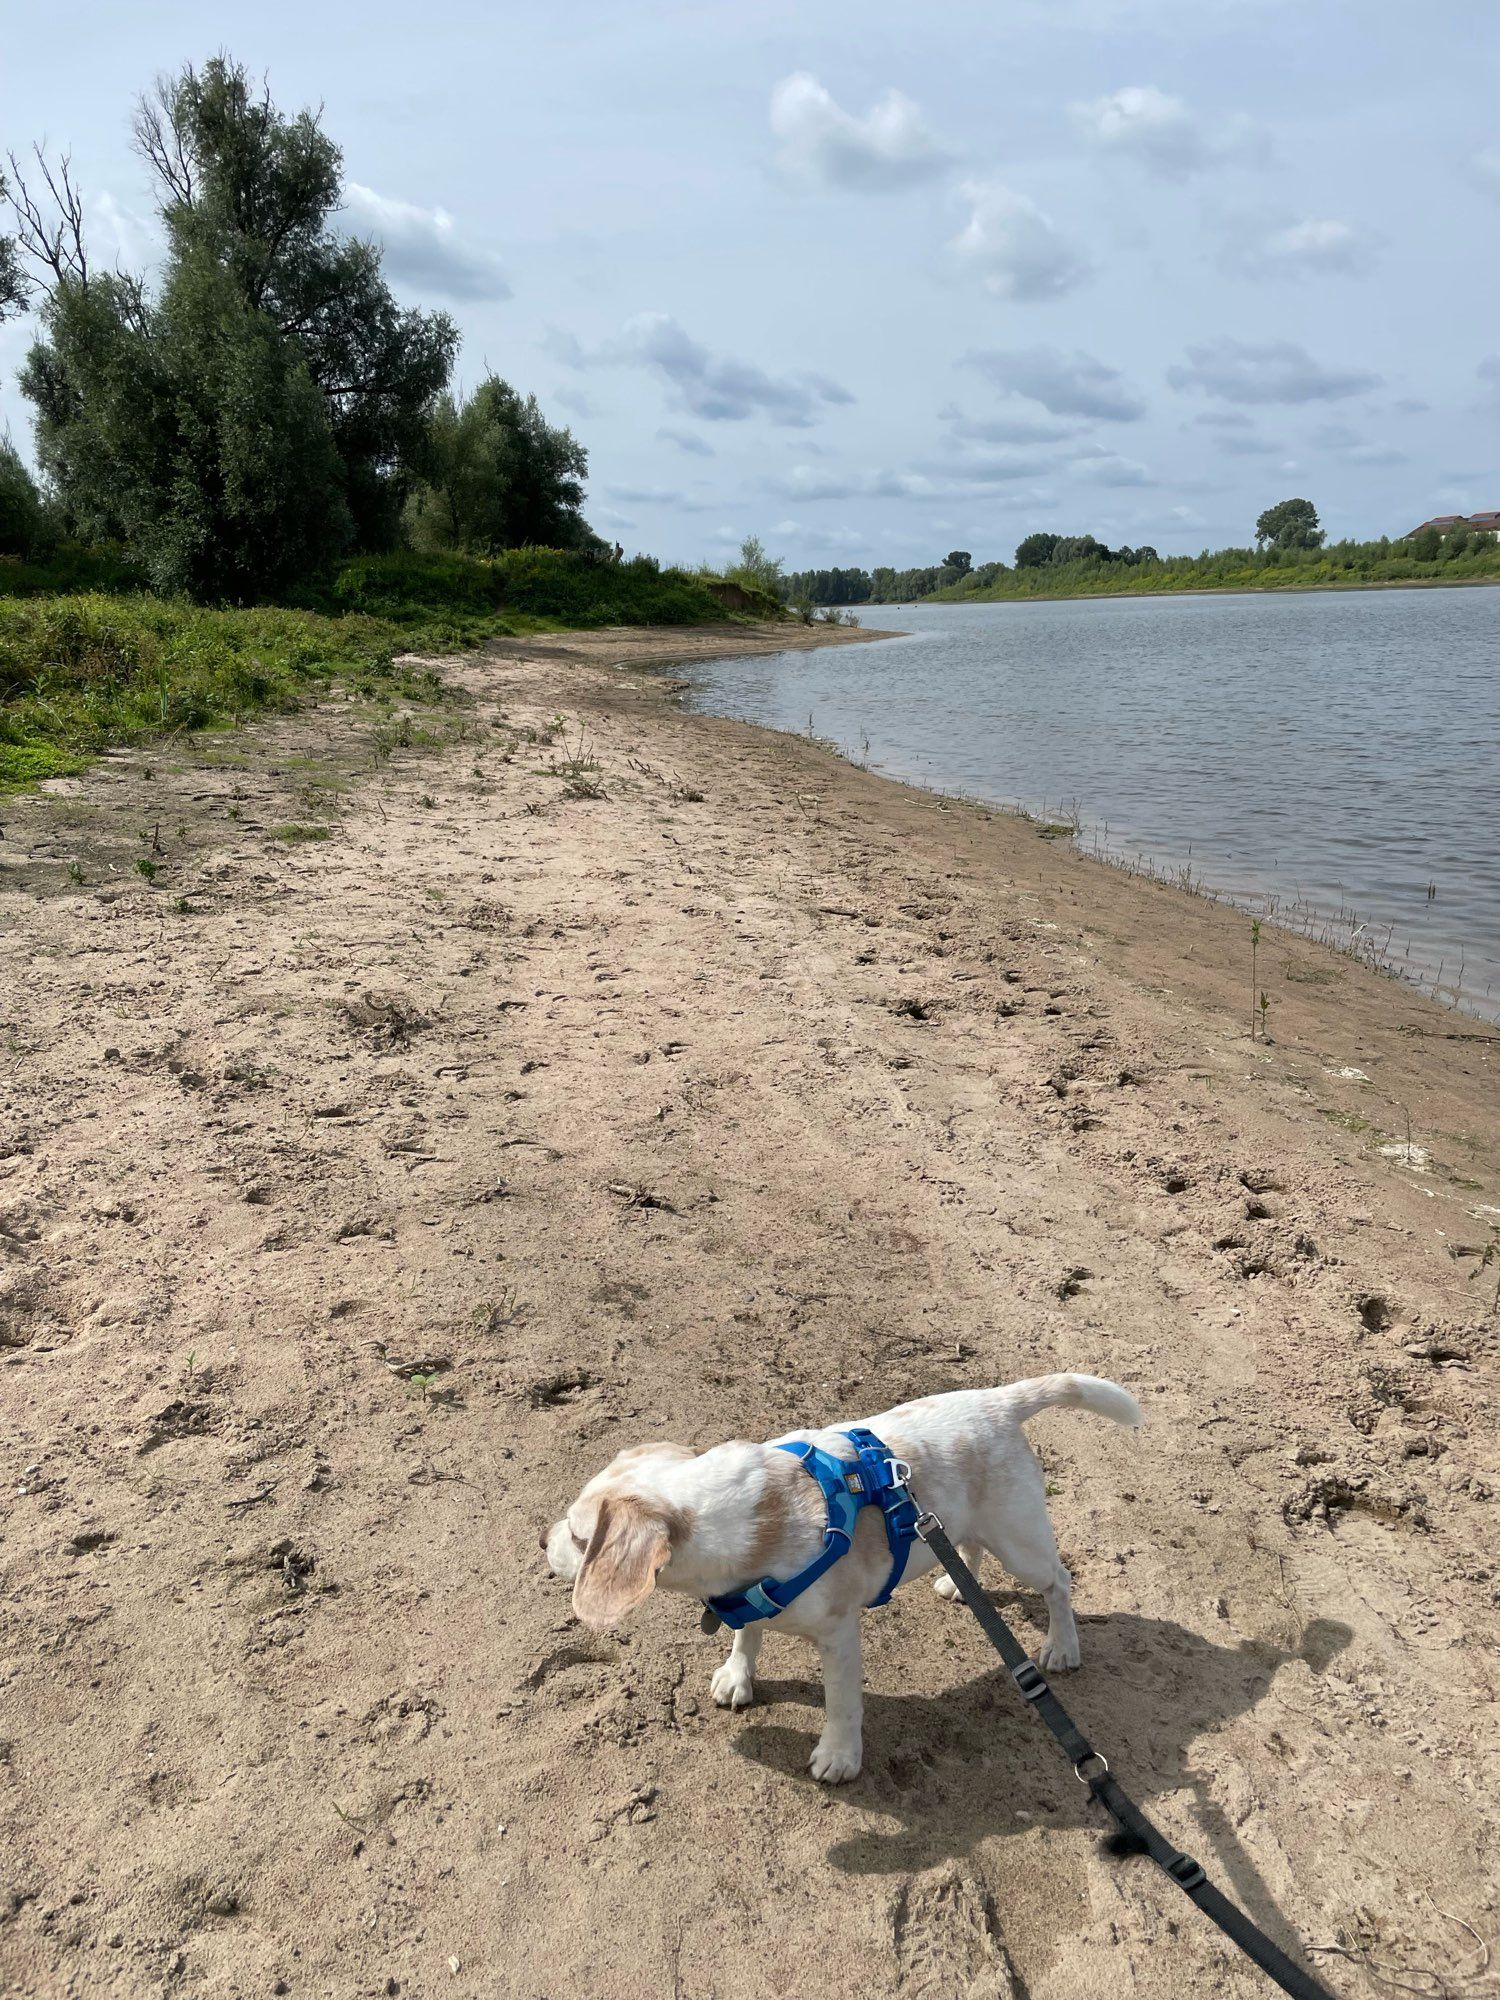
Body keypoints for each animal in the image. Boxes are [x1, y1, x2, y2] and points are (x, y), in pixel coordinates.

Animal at [540, 1376, 1136, 1784]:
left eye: (577, 1536)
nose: (541, 1544)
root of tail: (998, 1400)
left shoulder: (839, 1636)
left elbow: (843, 1704)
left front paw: (839, 1756)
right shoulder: (745, 1595)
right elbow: (746, 1634)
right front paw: (738, 1675)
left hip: (1020, 1545)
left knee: (1058, 1582)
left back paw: (1062, 1646)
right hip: (964, 1524)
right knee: (966, 1544)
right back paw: (956, 1583)